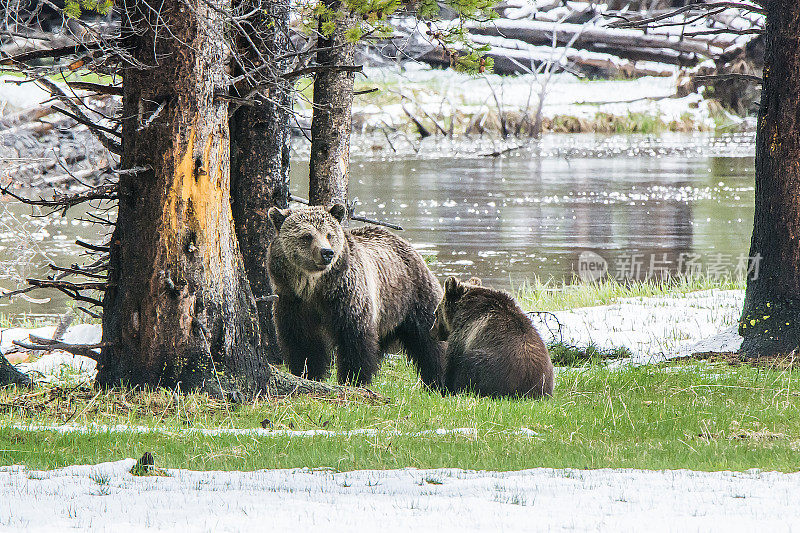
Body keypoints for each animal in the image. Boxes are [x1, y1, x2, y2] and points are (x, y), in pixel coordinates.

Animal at [268, 205, 444, 386]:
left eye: (329, 234)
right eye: (307, 236)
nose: (327, 253)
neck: (314, 287)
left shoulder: (346, 296)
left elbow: (355, 339)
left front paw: (354, 379)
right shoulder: (292, 300)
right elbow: (302, 342)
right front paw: (307, 373)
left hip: (413, 295)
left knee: (429, 339)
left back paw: (438, 380)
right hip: (388, 311)